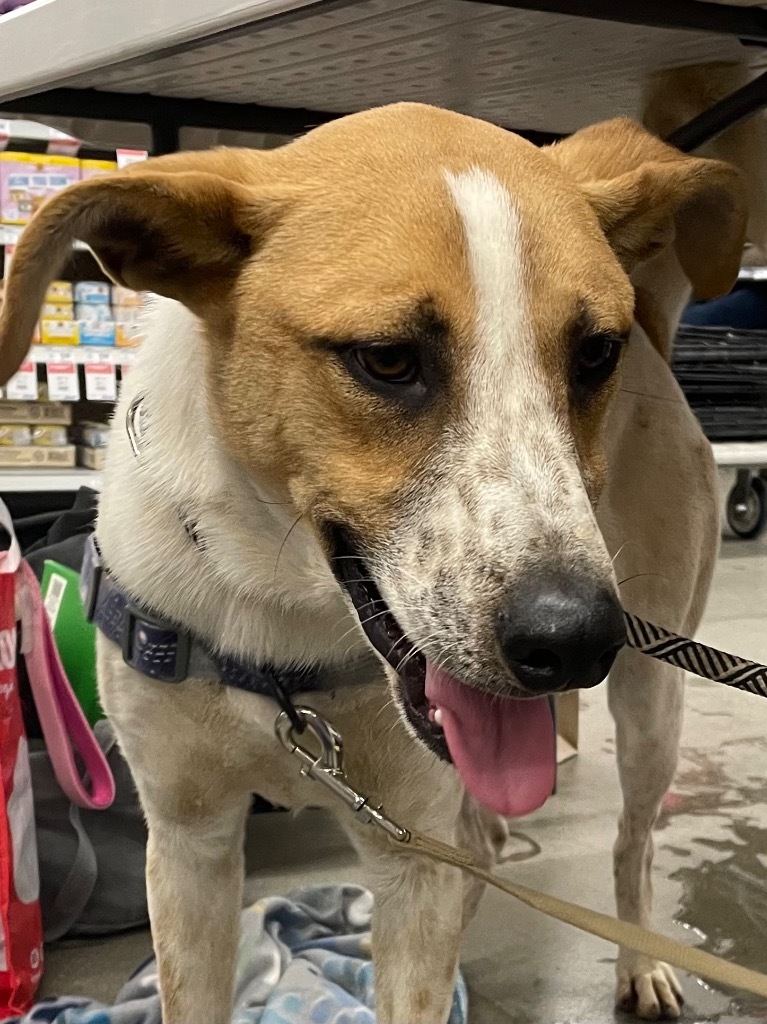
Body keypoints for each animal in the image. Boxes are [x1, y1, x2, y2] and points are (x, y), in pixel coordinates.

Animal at [0, 64, 753, 1024]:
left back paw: (638, 962)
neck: (281, 617)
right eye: (387, 359)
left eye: (593, 354)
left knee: (632, 845)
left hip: (653, 701)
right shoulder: (188, 844)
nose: (575, 640)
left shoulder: (409, 861)